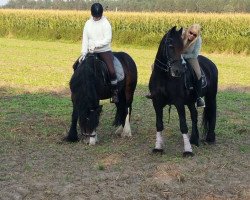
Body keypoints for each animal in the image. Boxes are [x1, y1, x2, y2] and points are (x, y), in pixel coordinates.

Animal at [149, 26, 218, 155]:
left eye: (182, 48)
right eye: (170, 46)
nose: (179, 71)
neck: (164, 77)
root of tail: (211, 64)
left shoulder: (179, 103)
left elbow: (183, 125)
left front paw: (188, 151)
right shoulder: (156, 102)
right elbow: (159, 124)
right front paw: (158, 147)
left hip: (211, 97)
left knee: (212, 113)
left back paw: (210, 138)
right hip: (191, 101)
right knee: (194, 116)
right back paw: (194, 139)